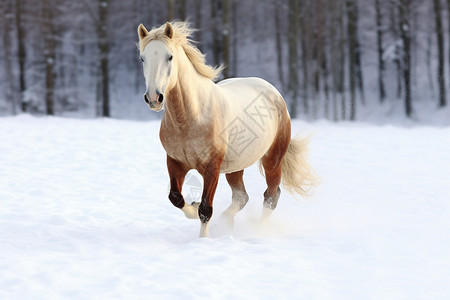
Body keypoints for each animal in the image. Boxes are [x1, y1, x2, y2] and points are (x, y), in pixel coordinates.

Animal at [135, 21, 314, 237]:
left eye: (169, 57)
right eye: (142, 58)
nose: (154, 98)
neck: (190, 119)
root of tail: (275, 93)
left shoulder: (211, 167)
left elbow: (206, 210)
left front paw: (202, 238)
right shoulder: (175, 162)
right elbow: (175, 197)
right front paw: (193, 208)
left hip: (273, 160)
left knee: (271, 195)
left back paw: (258, 229)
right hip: (236, 166)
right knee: (241, 197)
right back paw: (227, 221)